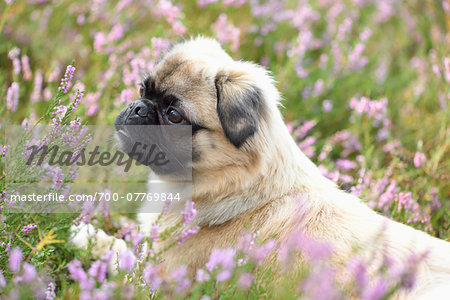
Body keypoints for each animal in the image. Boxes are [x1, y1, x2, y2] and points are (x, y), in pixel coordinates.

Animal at [72, 36, 450, 296]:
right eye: (142, 89)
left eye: (174, 115)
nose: (137, 108)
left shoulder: (158, 275)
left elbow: (118, 252)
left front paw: (85, 234)